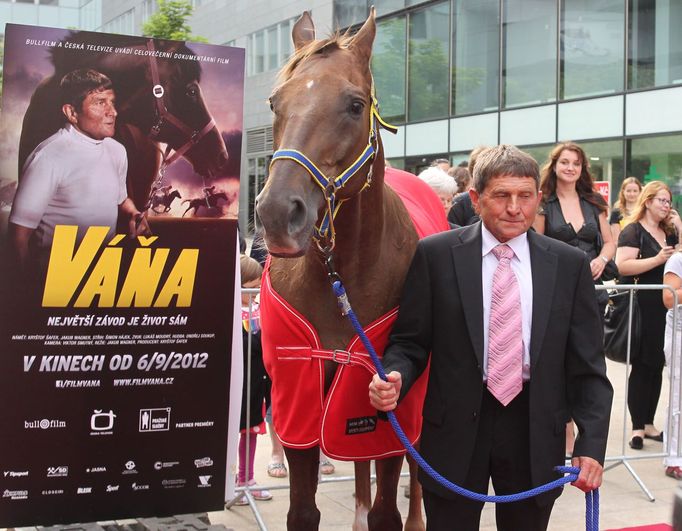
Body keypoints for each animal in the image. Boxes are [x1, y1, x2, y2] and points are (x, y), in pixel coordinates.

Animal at [252, 8, 438, 531]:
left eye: (355, 105)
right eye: (275, 101)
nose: (278, 213)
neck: (342, 280)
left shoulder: (389, 407)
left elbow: (386, 510)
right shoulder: (301, 406)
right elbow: (303, 510)